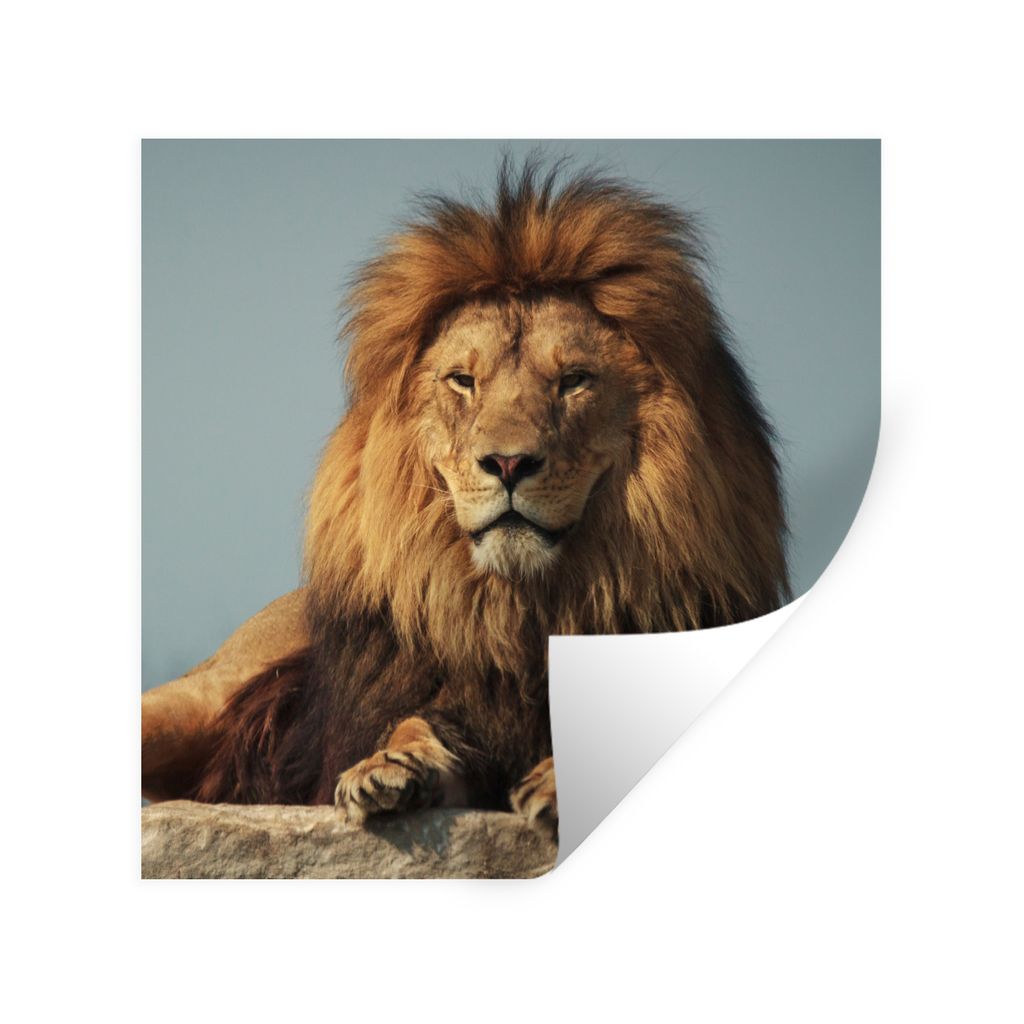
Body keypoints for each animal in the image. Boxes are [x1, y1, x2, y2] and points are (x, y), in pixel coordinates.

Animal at [141, 160, 790, 837]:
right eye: (463, 381)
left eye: (573, 381)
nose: (508, 463)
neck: (525, 611)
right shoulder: (457, 709)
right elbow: (415, 722)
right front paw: (387, 766)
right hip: (193, 699)